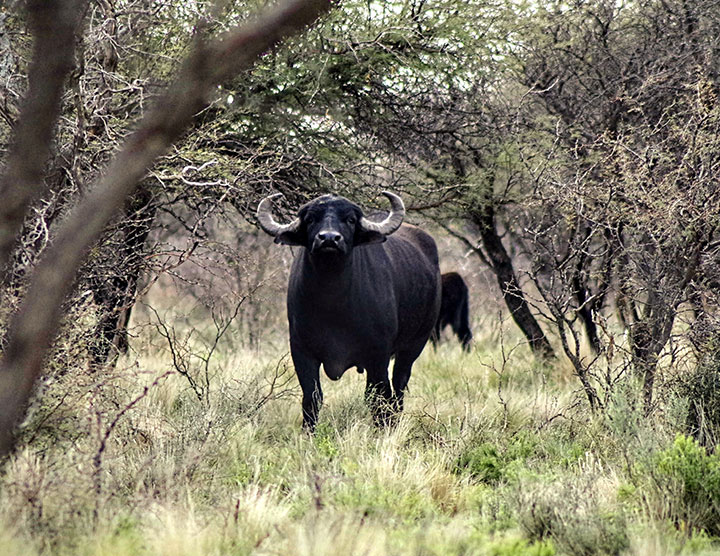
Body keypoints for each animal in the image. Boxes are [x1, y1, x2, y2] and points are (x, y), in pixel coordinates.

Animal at [258, 191, 438, 430]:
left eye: (350, 220)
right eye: (310, 219)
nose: (329, 239)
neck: (334, 304)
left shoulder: (378, 354)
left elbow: (377, 397)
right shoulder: (301, 351)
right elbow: (312, 396)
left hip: (415, 344)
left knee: (398, 386)